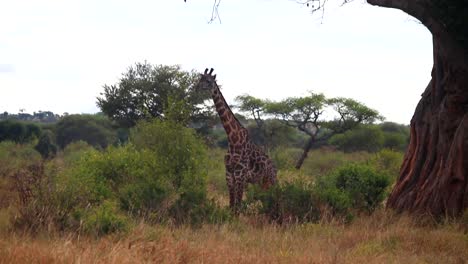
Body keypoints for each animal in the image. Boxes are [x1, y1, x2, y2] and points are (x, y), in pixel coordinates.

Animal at [196, 68, 276, 212]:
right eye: (200, 79)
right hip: (262, 183)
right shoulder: (229, 174)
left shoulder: (240, 175)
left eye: (209, 81)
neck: (233, 139)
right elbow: (231, 206)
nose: (196, 88)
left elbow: (237, 207)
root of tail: (275, 169)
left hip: (271, 182)